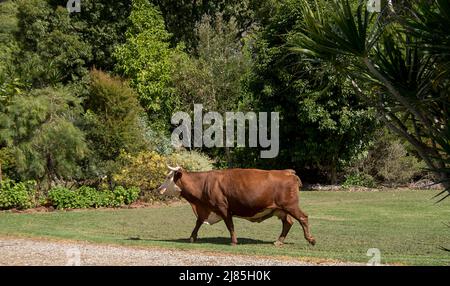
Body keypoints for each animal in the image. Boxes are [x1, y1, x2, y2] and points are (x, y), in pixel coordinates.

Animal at [158, 165, 316, 246]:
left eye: (168, 177)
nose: (158, 189)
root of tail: (287, 172)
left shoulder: (223, 208)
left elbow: (230, 226)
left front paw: (234, 241)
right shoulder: (206, 208)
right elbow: (199, 222)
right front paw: (192, 238)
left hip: (290, 206)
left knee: (303, 218)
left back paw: (311, 239)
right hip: (280, 209)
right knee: (288, 222)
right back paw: (278, 241)